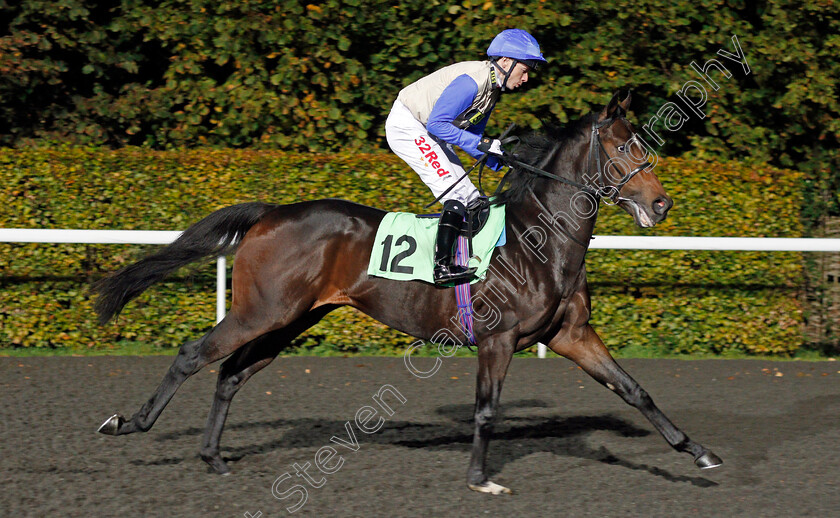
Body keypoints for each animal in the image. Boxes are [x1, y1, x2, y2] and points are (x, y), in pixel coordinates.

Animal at [93, 92, 720, 496]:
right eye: (623, 149)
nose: (662, 203)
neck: (538, 241)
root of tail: (270, 212)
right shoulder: (498, 338)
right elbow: (486, 409)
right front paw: (479, 479)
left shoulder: (571, 334)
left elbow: (634, 390)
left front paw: (699, 453)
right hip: (261, 310)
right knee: (193, 355)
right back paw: (129, 424)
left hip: (290, 318)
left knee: (230, 374)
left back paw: (213, 457)